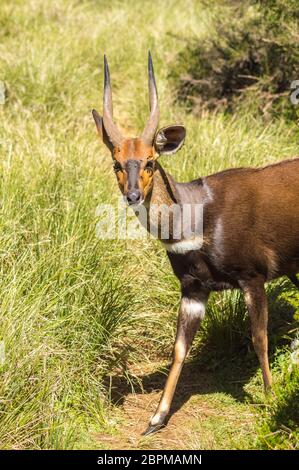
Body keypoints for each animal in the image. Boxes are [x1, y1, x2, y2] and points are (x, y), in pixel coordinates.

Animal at [92, 52, 299, 436]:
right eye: (116, 163)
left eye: (151, 161)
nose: (133, 195)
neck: (198, 217)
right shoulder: (193, 288)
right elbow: (178, 349)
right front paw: (155, 419)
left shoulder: (253, 276)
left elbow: (259, 338)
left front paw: (271, 399)